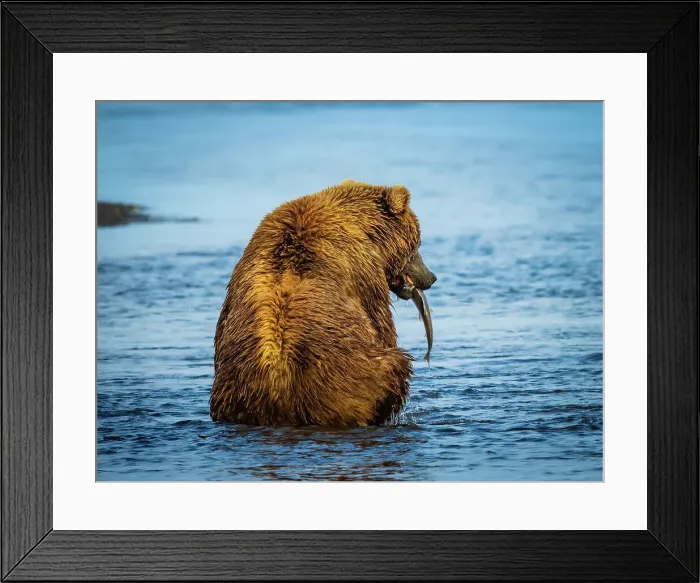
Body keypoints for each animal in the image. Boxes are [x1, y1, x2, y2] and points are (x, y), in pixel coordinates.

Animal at [209, 179, 436, 428]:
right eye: (418, 243)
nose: (431, 277)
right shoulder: (364, 274)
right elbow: (380, 323)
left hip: (234, 392)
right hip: (356, 377)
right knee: (395, 367)